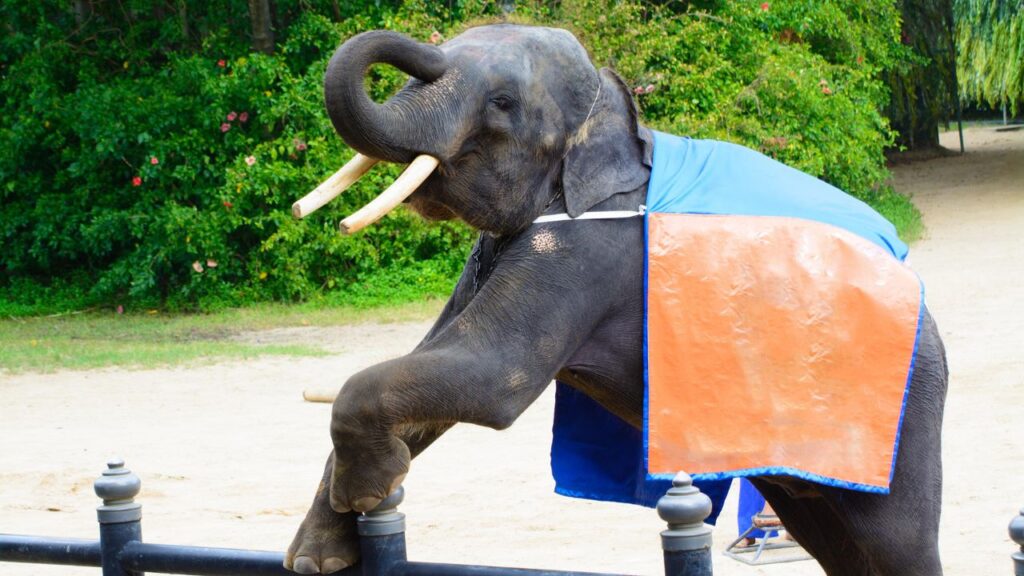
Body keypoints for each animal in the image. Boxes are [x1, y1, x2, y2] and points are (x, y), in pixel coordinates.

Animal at [284, 24, 949, 576]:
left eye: (502, 103)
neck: (615, 119)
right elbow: (435, 362)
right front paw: (315, 558)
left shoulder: (591, 247)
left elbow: (490, 375)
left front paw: (365, 495)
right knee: (835, 537)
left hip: (903, 410)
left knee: (898, 542)